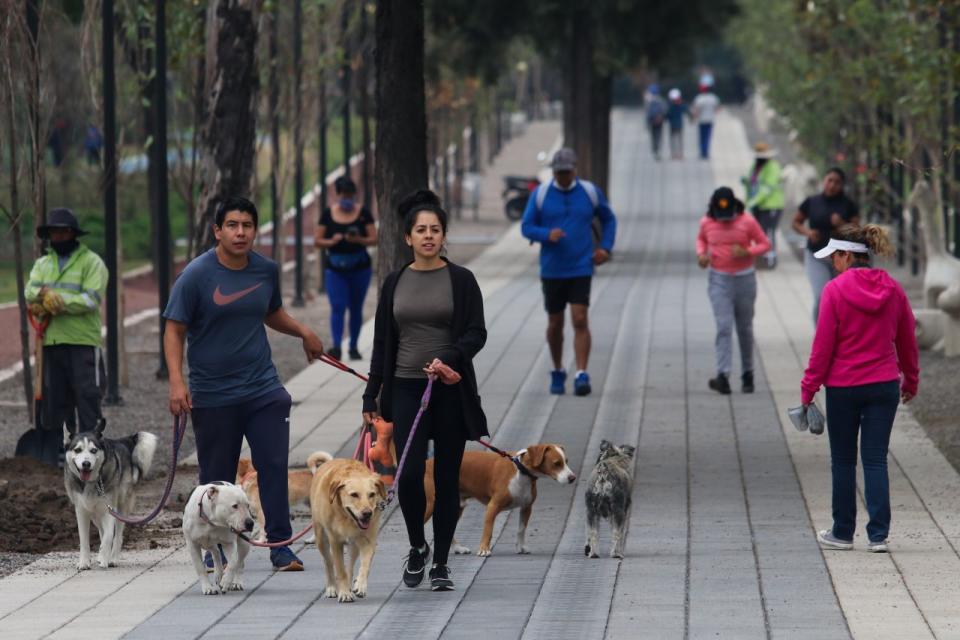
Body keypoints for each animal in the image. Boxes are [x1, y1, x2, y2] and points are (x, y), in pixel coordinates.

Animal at [64, 424, 158, 568]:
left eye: (93, 450)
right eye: (78, 450)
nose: (86, 464)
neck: (91, 482)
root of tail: (122, 441)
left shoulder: (110, 508)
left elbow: (109, 536)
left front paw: (104, 556)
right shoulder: (82, 510)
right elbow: (84, 539)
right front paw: (84, 562)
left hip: (121, 506)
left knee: (117, 535)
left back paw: (112, 558)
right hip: (95, 513)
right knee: (101, 530)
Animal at [312, 458, 386, 604]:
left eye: (372, 494)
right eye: (354, 495)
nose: (367, 513)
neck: (347, 518)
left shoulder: (369, 541)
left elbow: (365, 565)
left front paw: (360, 585)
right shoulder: (335, 542)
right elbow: (340, 570)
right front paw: (344, 593)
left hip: (354, 546)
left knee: (350, 566)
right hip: (321, 537)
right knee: (328, 563)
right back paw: (331, 587)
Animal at [428, 442, 576, 556]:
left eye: (567, 462)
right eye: (556, 463)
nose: (572, 478)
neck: (521, 472)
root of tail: (427, 462)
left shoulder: (526, 507)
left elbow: (521, 529)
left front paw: (520, 547)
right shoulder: (492, 507)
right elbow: (488, 530)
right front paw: (484, 549)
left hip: (456, 506)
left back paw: (458, 548)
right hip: (430, 506)